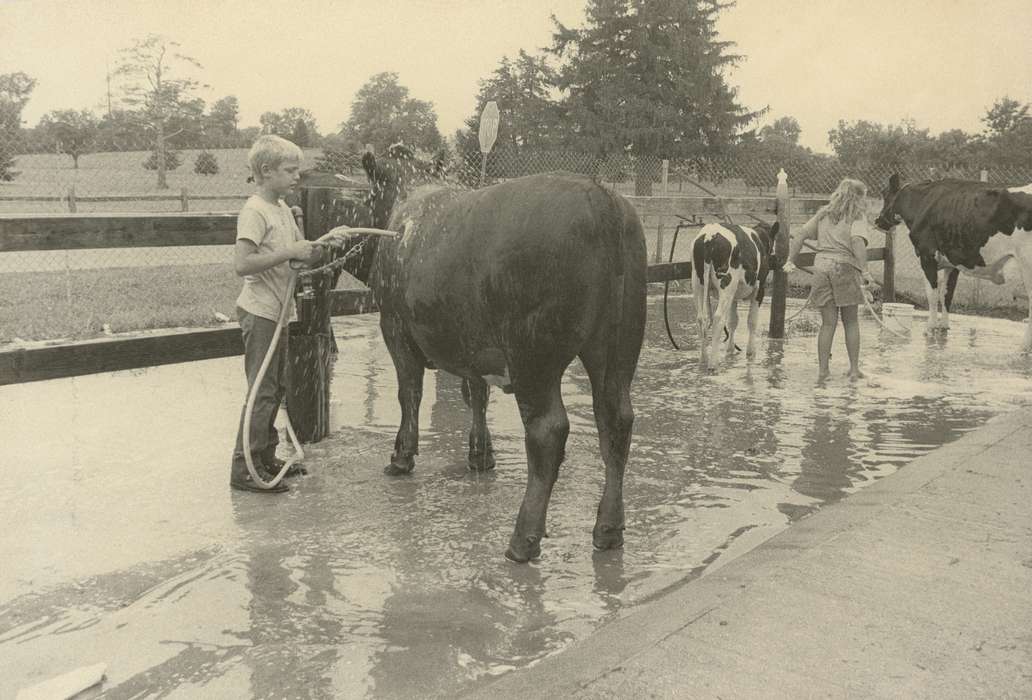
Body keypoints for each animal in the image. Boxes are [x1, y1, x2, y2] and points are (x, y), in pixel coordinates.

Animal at [338, 149, 643, 565]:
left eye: (366, 197)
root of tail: (599, 195)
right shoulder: (472, 346)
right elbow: (477, 394)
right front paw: (481, 454)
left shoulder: (395, 327)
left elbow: (409, 393)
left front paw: (402, 456)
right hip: (618, 348)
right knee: (616, 421)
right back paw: (609, 529)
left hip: (533, 354)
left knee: (548, 431)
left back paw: (522, 539)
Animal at [689, 221, 776, 369]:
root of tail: (709, 235)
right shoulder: (760, 289)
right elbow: (752, 321)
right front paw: (751, 352)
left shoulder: (734, 296)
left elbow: (733, 321)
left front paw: (730, 350)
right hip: (726, 283)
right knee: (718, 318)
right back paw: (713, 364)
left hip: (698, 283)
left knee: (701, 319)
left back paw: (703, 360)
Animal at [871, 174, 1032, 348]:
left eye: (885, 194)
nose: (877, 221)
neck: (923, 200)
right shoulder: (952, 263)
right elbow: (946, 295)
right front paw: (943, 327)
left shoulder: (927, 256)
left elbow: (932, 294)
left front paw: (929, 328)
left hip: (1027, 266)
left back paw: (1025, 345)